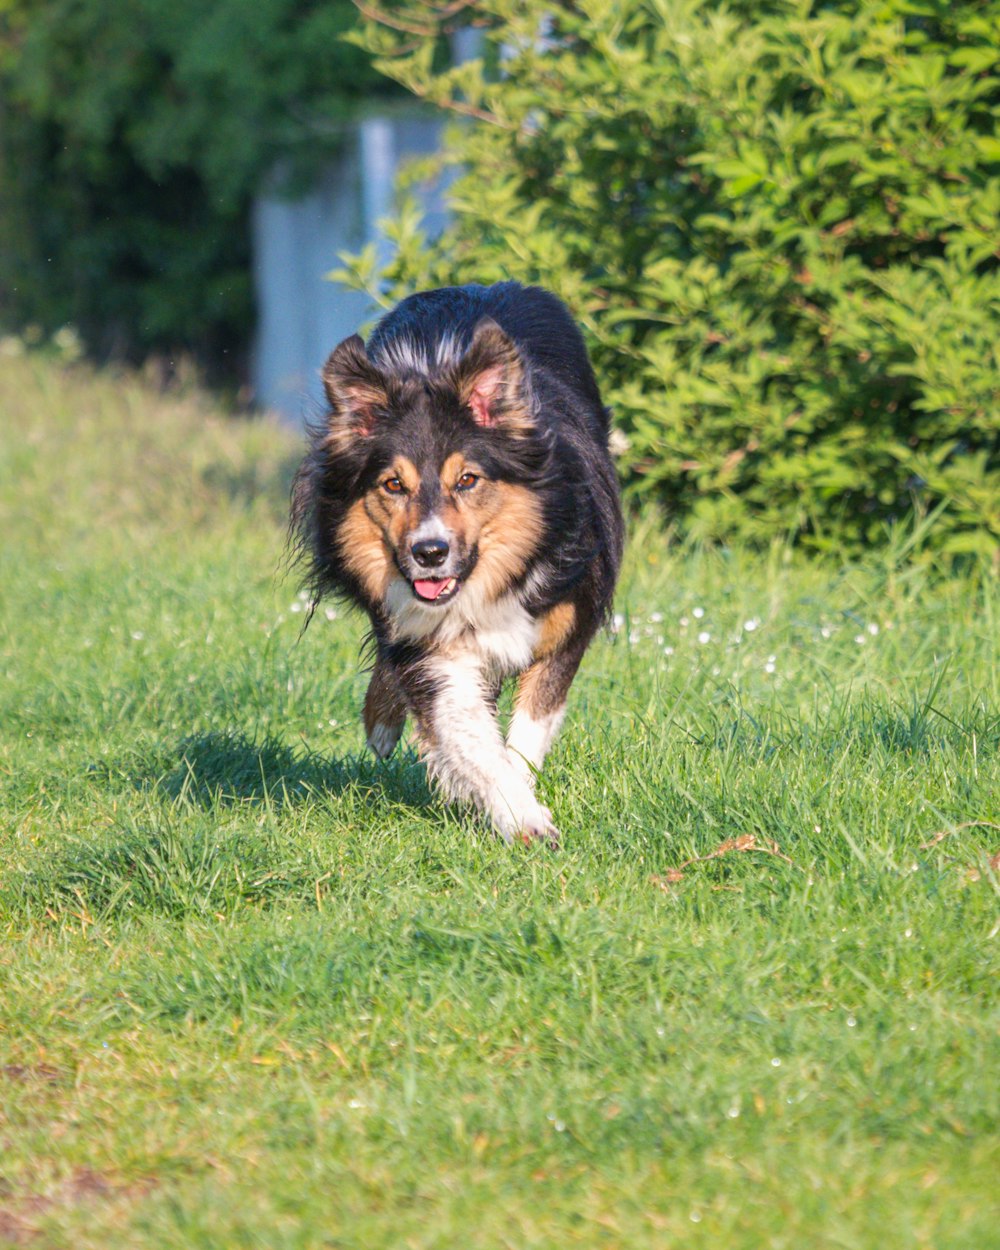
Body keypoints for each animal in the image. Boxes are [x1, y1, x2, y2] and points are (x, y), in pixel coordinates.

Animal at [288, 281, 620, 850]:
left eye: (467, 480)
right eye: (393, 484)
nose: (429, 553)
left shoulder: (566, 626)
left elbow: (526, 731)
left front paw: (517, 799)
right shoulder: (433, 645)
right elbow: (467, 730)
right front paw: (522, 816)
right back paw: (381, 724)